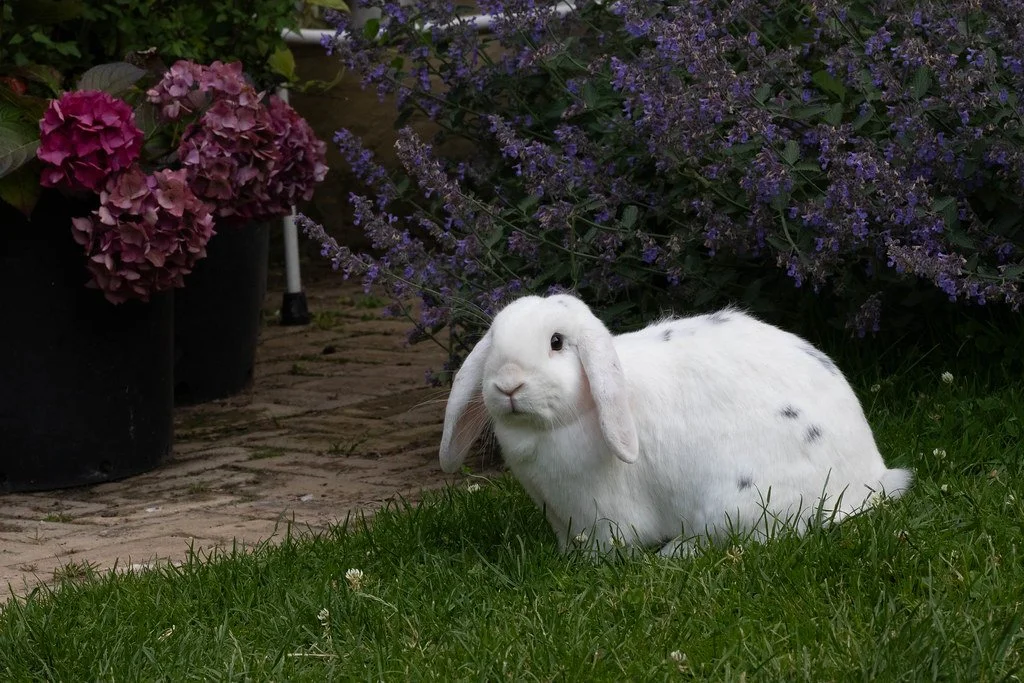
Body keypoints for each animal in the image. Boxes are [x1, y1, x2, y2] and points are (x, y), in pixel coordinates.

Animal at [439, 292, 913, 557]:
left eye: (556, 342)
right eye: (494, 344)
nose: (507, 384)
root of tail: (873, 477)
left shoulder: (603, 516)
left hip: (735, 503)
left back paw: (675, 553)